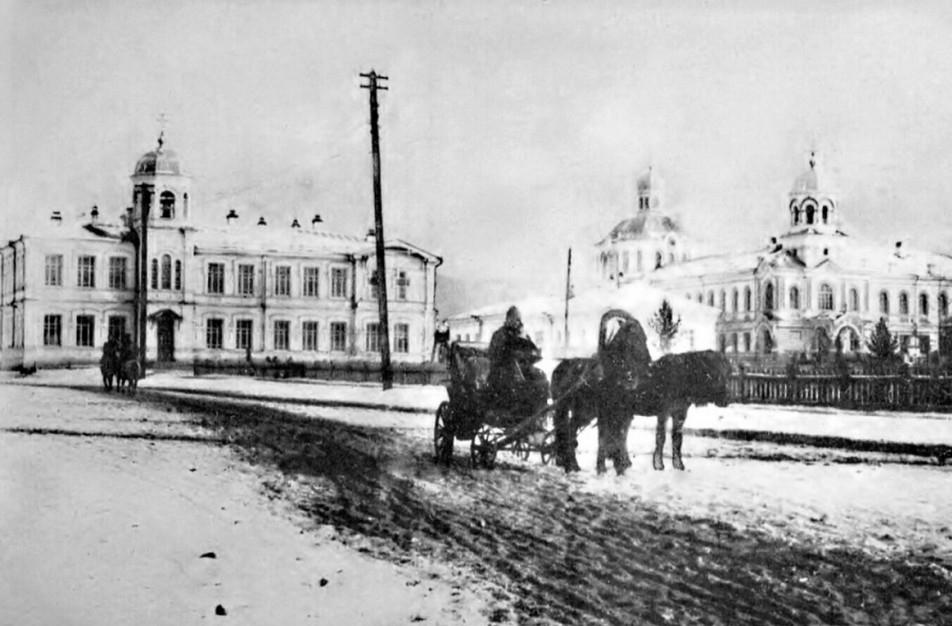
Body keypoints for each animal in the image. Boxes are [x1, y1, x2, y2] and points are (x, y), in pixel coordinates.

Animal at [552, 308, 656, 472]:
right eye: (632, 338)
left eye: (644, 337)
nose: (649, 363)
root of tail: (559, 368)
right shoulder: (604, 413)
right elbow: (604, 437)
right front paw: (602, 467)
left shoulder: (624, 414)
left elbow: (620, 437)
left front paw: (621, 464)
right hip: (563, 407)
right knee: (565, 430)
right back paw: (570, 464)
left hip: (582, 413)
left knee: (570, 429)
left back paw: (571, 464)